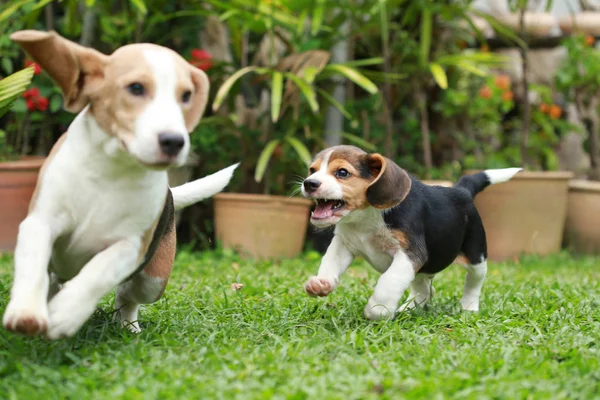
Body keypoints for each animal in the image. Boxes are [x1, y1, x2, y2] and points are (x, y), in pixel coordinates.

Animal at [2, 29, 237, 340]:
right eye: (136, 88)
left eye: (186, 96)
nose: (174, 141)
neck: (111, 168)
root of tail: (171, 195)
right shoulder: (40, 222)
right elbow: (33, 264)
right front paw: (26, 312)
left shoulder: (129, 247)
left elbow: (98, 273)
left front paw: (65, 314)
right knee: (54, 279)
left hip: (153, 280)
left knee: (127, 297)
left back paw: (128, 325)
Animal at [302, 145, 524, 320]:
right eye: (312, 170)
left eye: (342, 172)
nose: (309, 183)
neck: (365, 218)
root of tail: (461, 191)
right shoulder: (344, 244)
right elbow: (330, 262)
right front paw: (322, 283)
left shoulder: (410, 255)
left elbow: (388, 281)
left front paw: (378, 309)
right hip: (422, 270)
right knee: (425, 289)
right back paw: (410, 308)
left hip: (476, 254)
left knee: (473, 283)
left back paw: (468, 308)